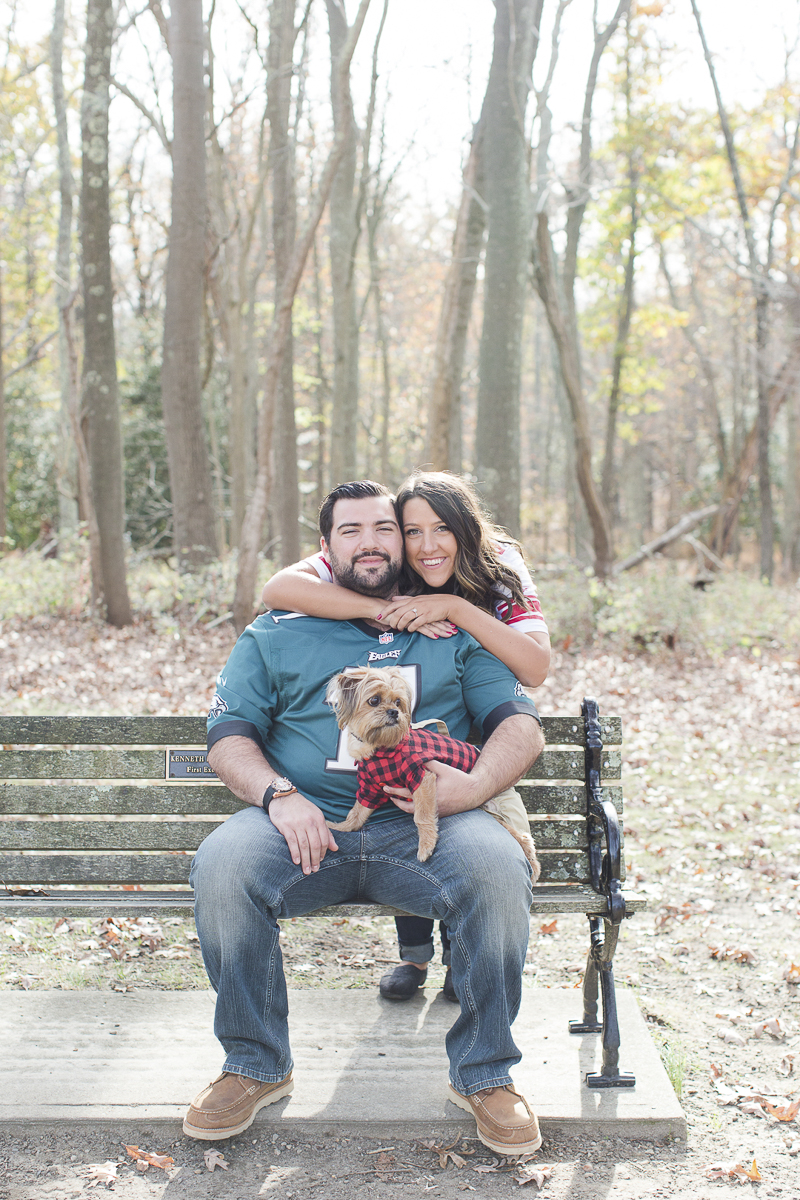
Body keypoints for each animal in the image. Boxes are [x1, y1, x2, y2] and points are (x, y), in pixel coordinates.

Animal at [321, 667, 542, 873]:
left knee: (522, 838)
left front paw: (426, 845)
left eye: (398, 702)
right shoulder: (371, 787)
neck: (379, 748)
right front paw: (341, 827)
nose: (394, 712)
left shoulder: (421, 777)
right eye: (374, 700)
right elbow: (357, 813)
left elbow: (422, 816)